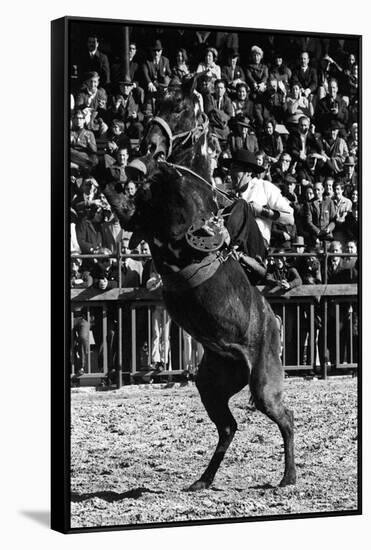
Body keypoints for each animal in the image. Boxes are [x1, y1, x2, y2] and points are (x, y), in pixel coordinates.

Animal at [108, 76, 296, 492]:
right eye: (160, 102)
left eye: (182, 108)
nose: (149, 147)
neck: (184, 187)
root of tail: (273, 319)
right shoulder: (135, 221)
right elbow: (118, 195)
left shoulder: (181, 237)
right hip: (211, 383)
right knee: (228, 427)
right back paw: (203, 480)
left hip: (264, 383)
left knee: (285, 418)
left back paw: (288, 478)